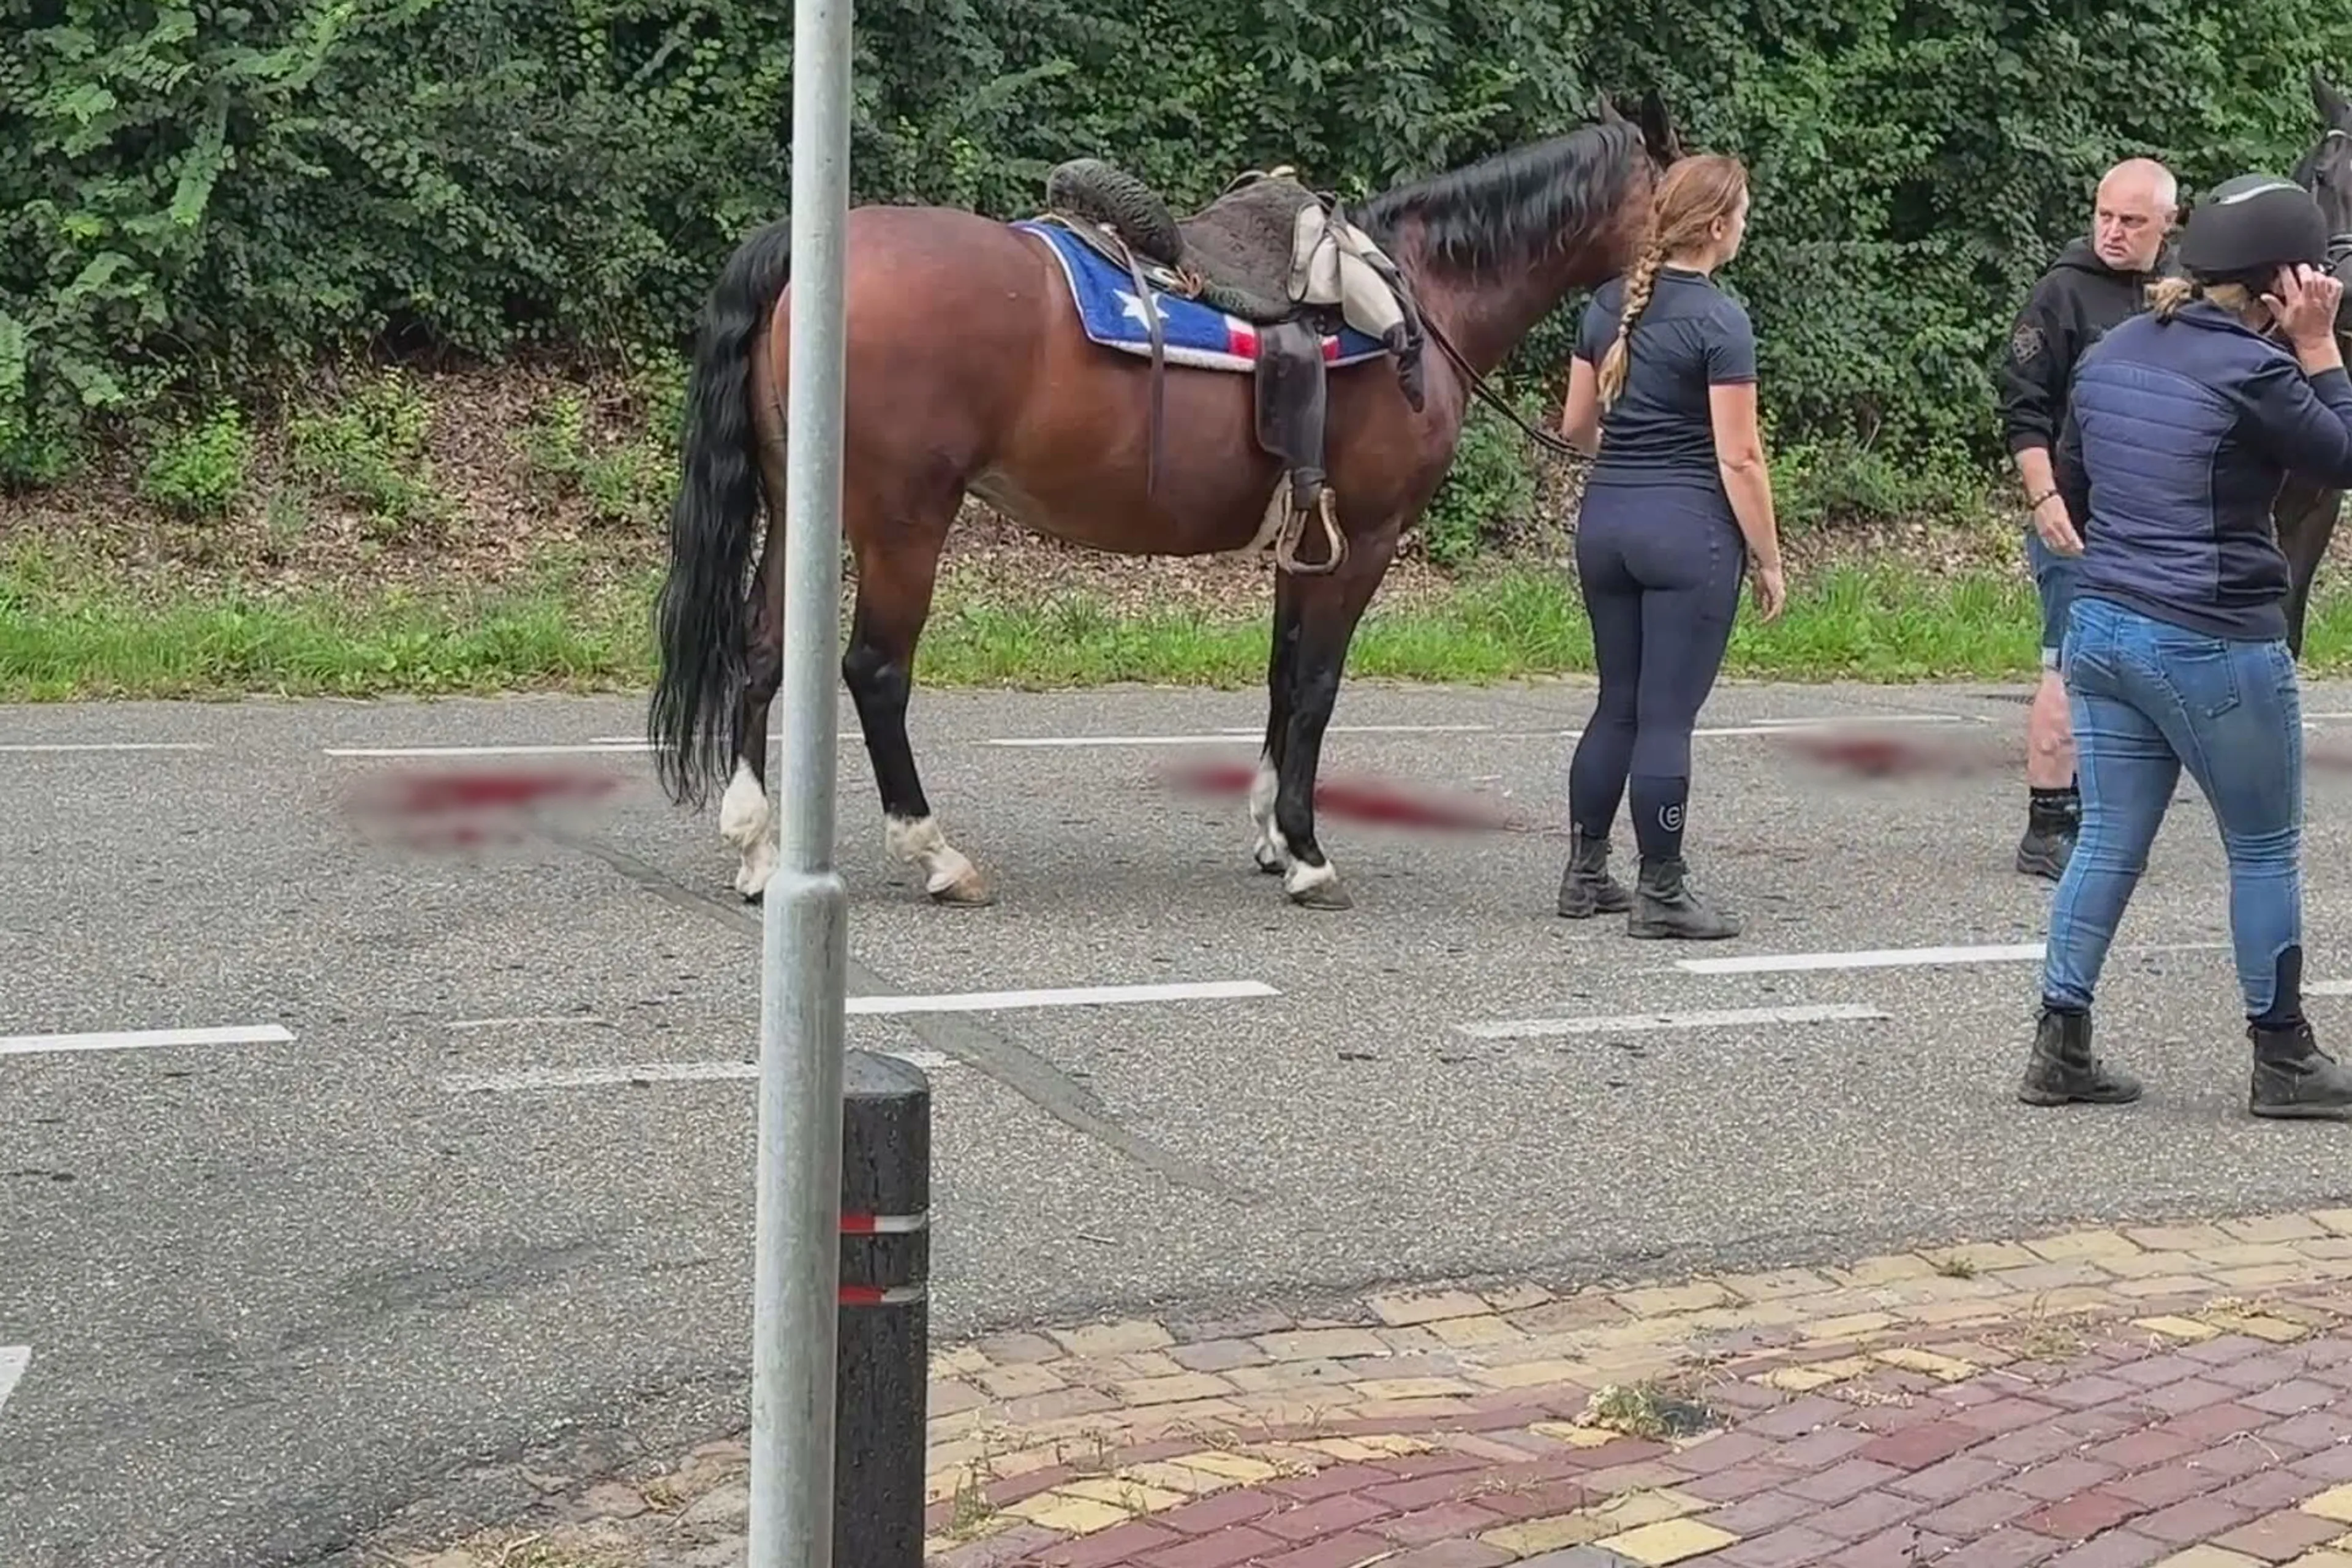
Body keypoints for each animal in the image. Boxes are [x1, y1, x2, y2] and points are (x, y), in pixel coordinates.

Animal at [645, 94, 1686, 912]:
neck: (1419, 301)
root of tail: (809, 248)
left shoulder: (1303, 538)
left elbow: (1282, 676)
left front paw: (1271, 835)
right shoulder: (1365, 539)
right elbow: (1318, 685)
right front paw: (1309, 853)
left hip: (799, 504)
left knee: (763, 652)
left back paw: (759, 848)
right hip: (905, 519)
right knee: (875, 671)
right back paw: (935, 854)